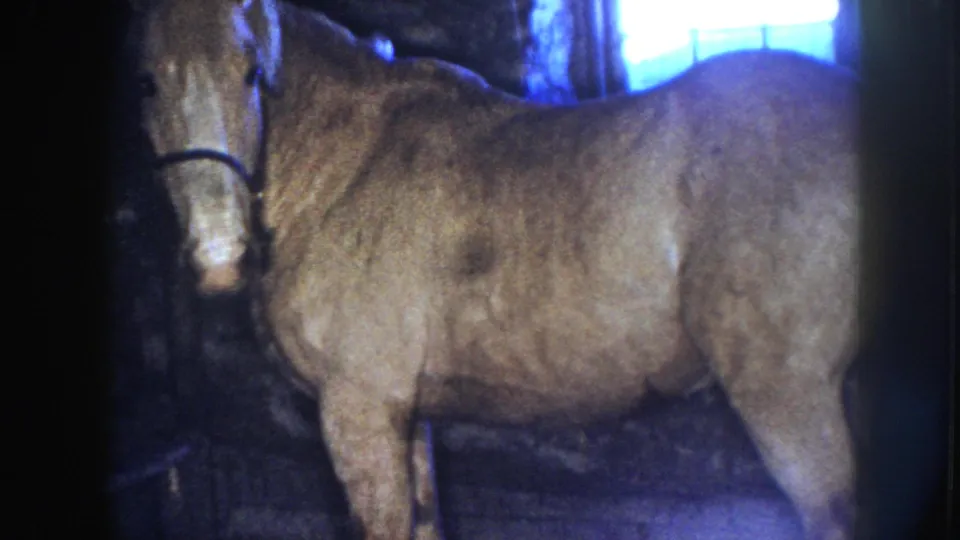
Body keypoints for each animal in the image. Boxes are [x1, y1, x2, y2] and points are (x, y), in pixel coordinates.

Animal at [132, 0, 862, 538]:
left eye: (251, 70)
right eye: (146, 80)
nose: (220, 258)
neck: (343, 169)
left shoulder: (357, 412)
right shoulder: (405, 413)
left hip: (787, 399)